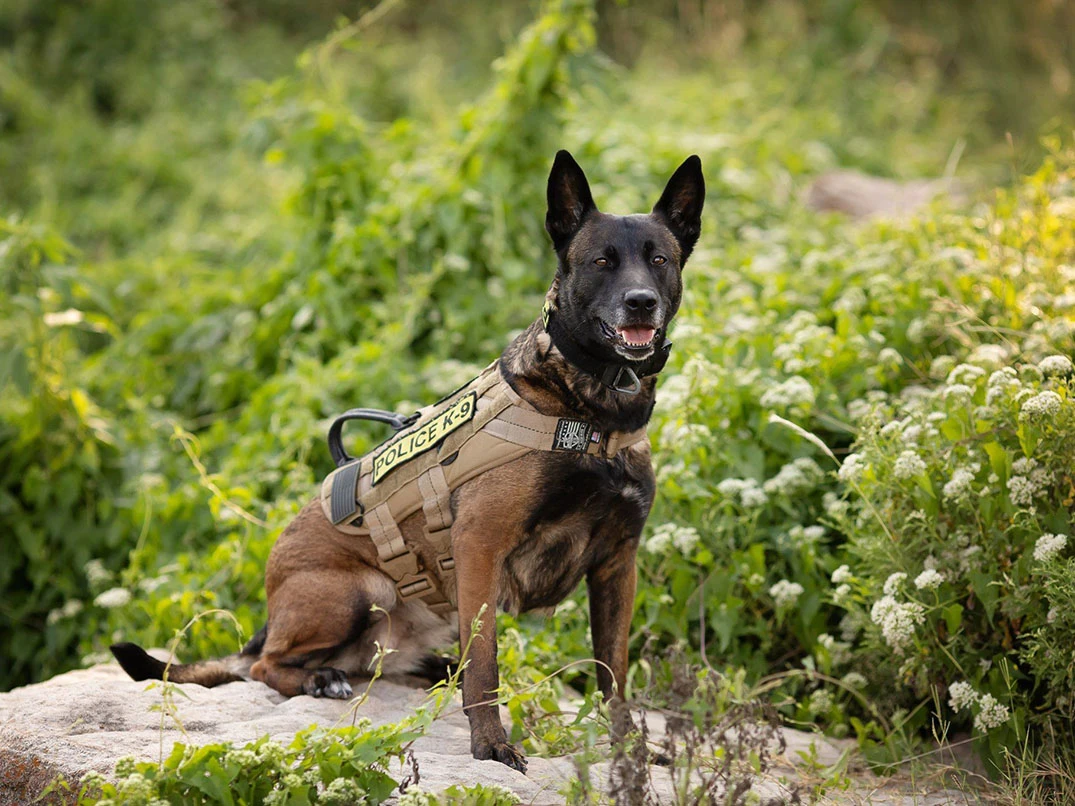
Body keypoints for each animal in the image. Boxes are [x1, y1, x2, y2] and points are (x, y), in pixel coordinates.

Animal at [113, 148, 700, 773]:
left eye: (659, 260)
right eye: (601, 262)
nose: (641, 303)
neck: (591, 415)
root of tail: (268, 615)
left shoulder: (617, 564)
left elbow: (614, 676)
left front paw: (628, 750)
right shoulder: (479, 545)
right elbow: (487, 664)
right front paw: (490, 744)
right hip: (359, 591)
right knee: (269, 665)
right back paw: (322, 678)